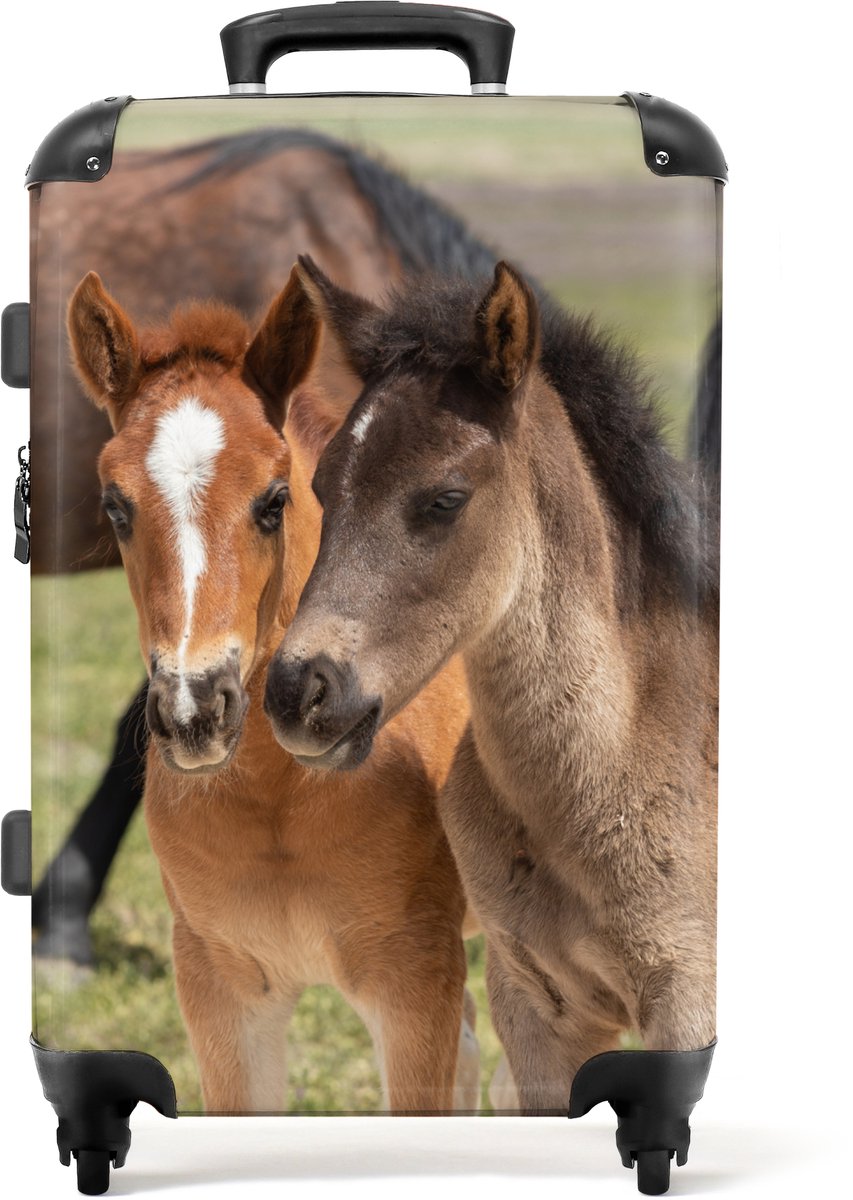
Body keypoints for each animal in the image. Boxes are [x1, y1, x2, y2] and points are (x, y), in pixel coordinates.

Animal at [64, 269, 480, 1114]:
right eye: (115, 506)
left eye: (274, 500)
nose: (194, 710)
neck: (278, 793)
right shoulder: (219, 988)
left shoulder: (416, 980)